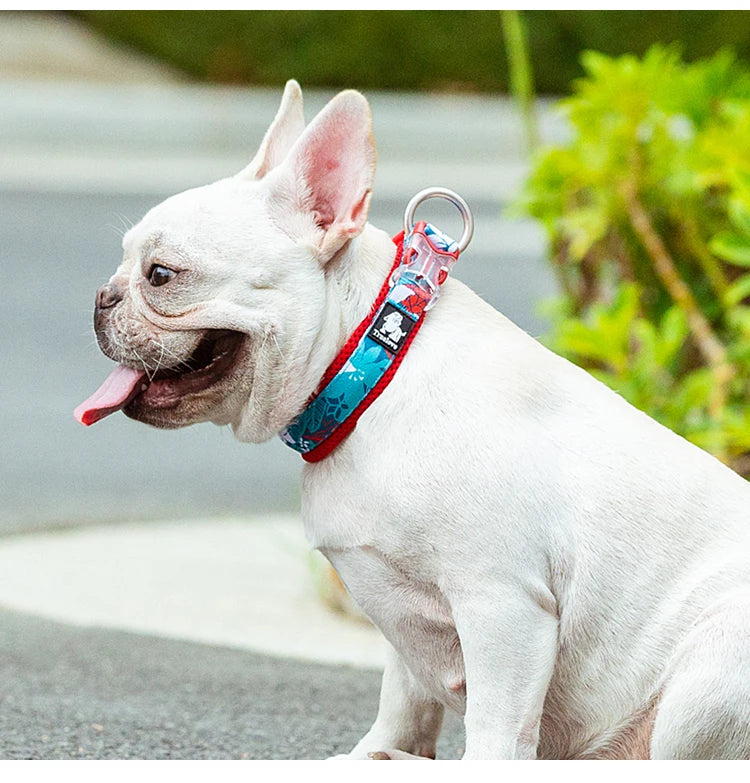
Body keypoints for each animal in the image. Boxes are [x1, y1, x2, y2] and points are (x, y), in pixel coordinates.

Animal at [76, 81, 750, 760]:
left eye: (161, 275)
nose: (102, 297)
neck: (370, 371)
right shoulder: (403, 615)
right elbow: (403, 696)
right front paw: (378, 750)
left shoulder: (502, 605)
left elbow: (497, 726)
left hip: (709, 676)